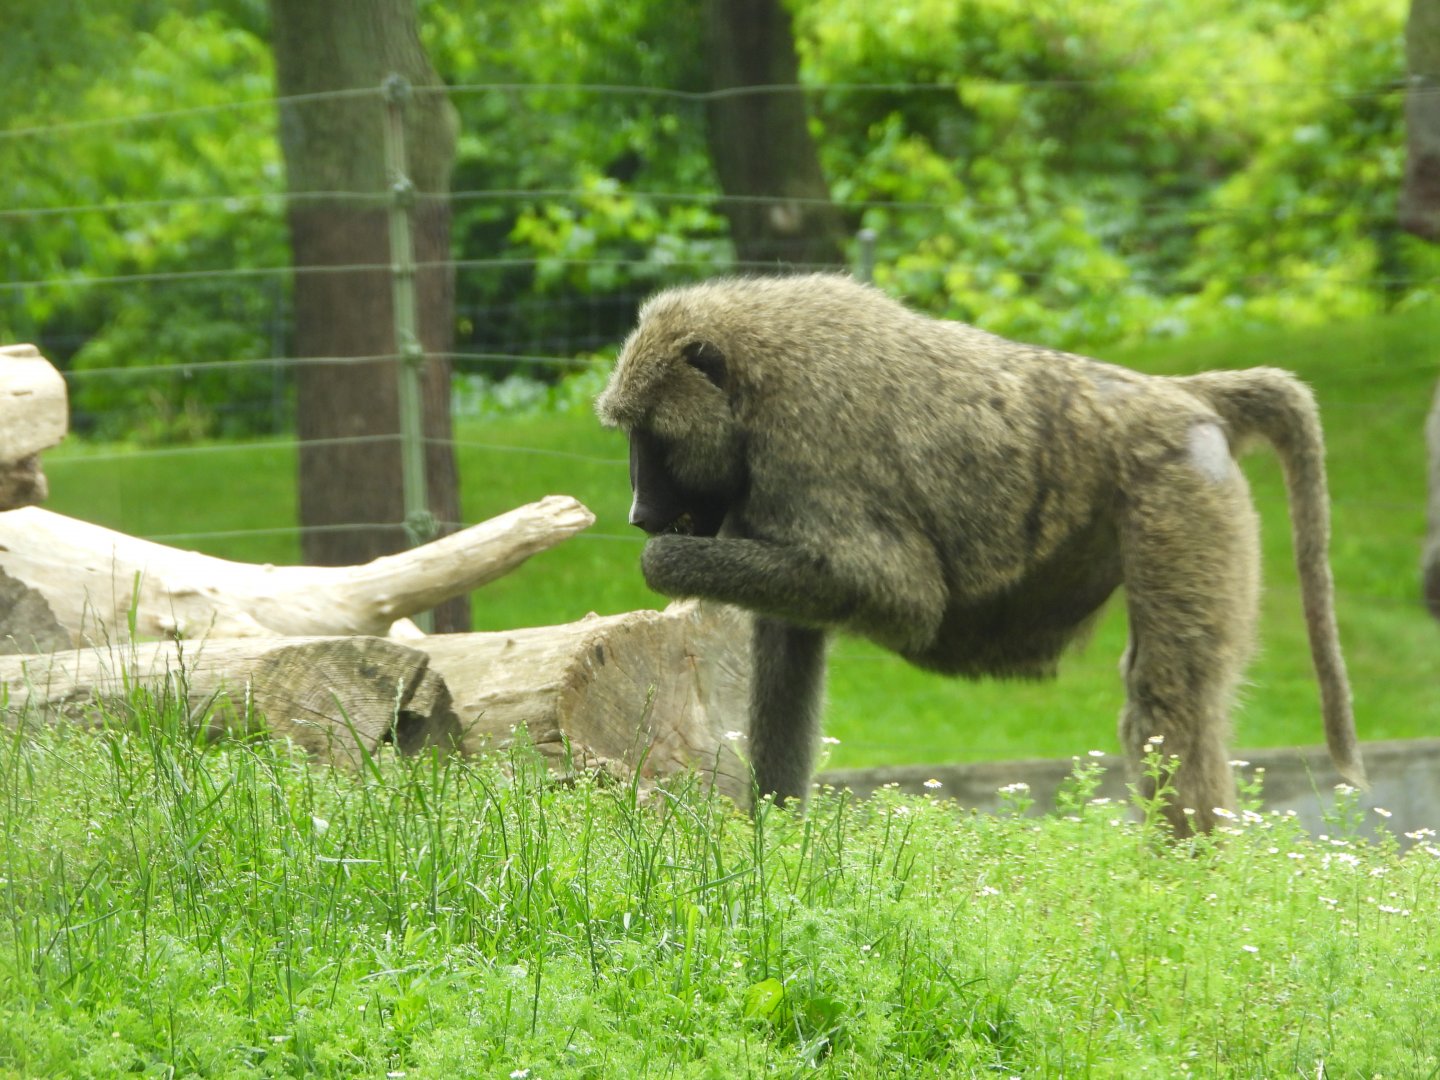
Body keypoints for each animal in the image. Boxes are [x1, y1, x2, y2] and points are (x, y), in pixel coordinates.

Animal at [595, 273, 1365, 835]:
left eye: (649, 435)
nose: (639, 514)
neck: (753, 385)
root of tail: (1175, 395)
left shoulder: (811, 446)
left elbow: (903, 597)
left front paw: (664, 560)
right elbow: (789, 648)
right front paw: (775, 843)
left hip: (1180, 493)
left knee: (1171, 697)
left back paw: (1187, 890)